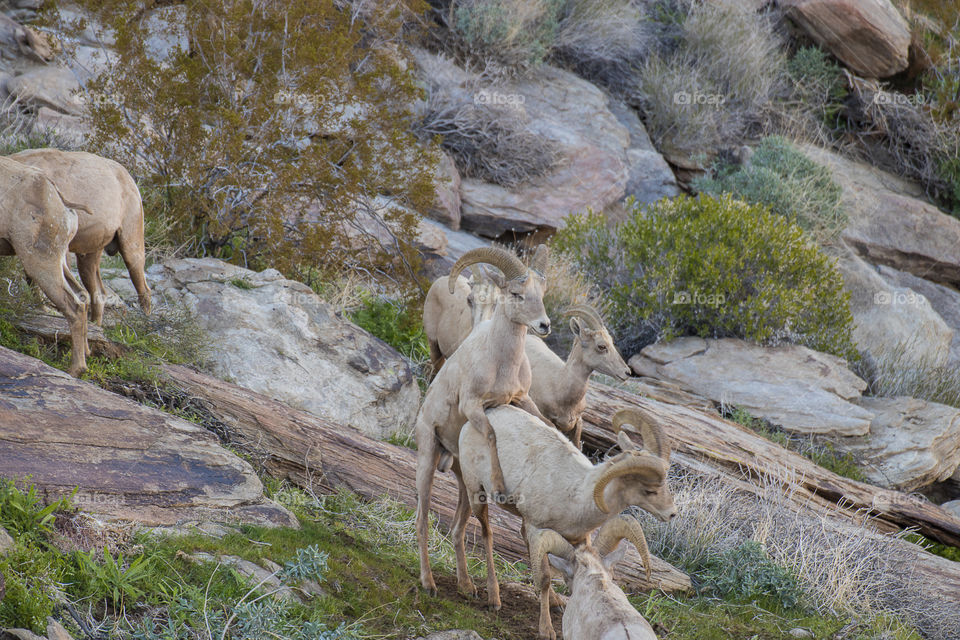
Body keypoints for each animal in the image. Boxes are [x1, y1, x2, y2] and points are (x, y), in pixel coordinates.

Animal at [10, 149, 151, 325]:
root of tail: (130, 180)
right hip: (89, 253)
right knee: (99, 293)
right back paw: (95, 323)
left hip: (131, 244)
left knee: (144, 290)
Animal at [415, 245, 554, 599]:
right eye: (517, 293)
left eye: (541, 294)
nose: (544, 325)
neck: (502, 363)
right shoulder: (474, 406)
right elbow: (491, 433)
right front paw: (502, 489)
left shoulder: (521, 399)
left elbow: (546, 425)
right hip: (427, 457)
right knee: (422, 520)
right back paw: (429, 583)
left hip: (465, 481)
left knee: (457, 528)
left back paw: (467, 587)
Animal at [454, 406, 674, 612]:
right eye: (650, 490)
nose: (671, 513)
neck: (578, 495)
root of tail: (481, 417)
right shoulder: (536, 527)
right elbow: (544, 576)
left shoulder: (579, 538)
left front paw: (558, 602)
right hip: (477, 494)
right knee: (487, 534)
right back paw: (493, 599)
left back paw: (466, 586)